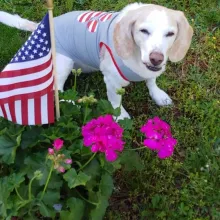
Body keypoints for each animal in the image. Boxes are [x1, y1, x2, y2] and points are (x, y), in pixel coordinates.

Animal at [0, 2, 192, 119]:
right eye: (143, 31)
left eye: (170, 34)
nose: (156, 59)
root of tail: (40, 27)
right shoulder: (112, 81)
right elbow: (115, 101)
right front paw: (120, 116)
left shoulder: (151, 72)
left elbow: (151, 81)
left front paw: (158, 95)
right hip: (64, 61)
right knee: (57, 90)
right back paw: (73, 104)